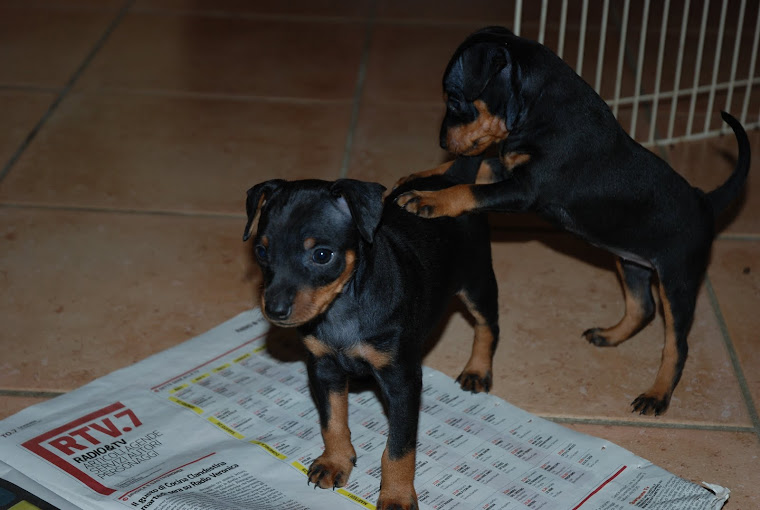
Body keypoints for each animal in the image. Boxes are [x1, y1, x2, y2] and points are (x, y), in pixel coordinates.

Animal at [243, 166, 502, 506]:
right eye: (261, 251)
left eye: (322, 255)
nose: (274, 310)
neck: (342, 308)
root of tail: (451, 178)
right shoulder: (323, 369)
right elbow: (332, 422)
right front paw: (335, 462)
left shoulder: (403, 382)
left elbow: (399, 449)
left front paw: (396, 496)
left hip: (477, 282)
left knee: (488, 326)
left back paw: (477, 370)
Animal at [394, 26, 752, 414]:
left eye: (455, 99)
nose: (442, 140)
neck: (538, 107)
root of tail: (705, 202)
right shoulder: (507, 170)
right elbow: (465, 172)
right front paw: (418, 176)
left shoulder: (526, 191)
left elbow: (467, 190)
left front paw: (428, 199)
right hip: (632, 262)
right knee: (643, 307)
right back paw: (608, 335)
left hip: (678, 279)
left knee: (677, 344)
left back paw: (656, 395)